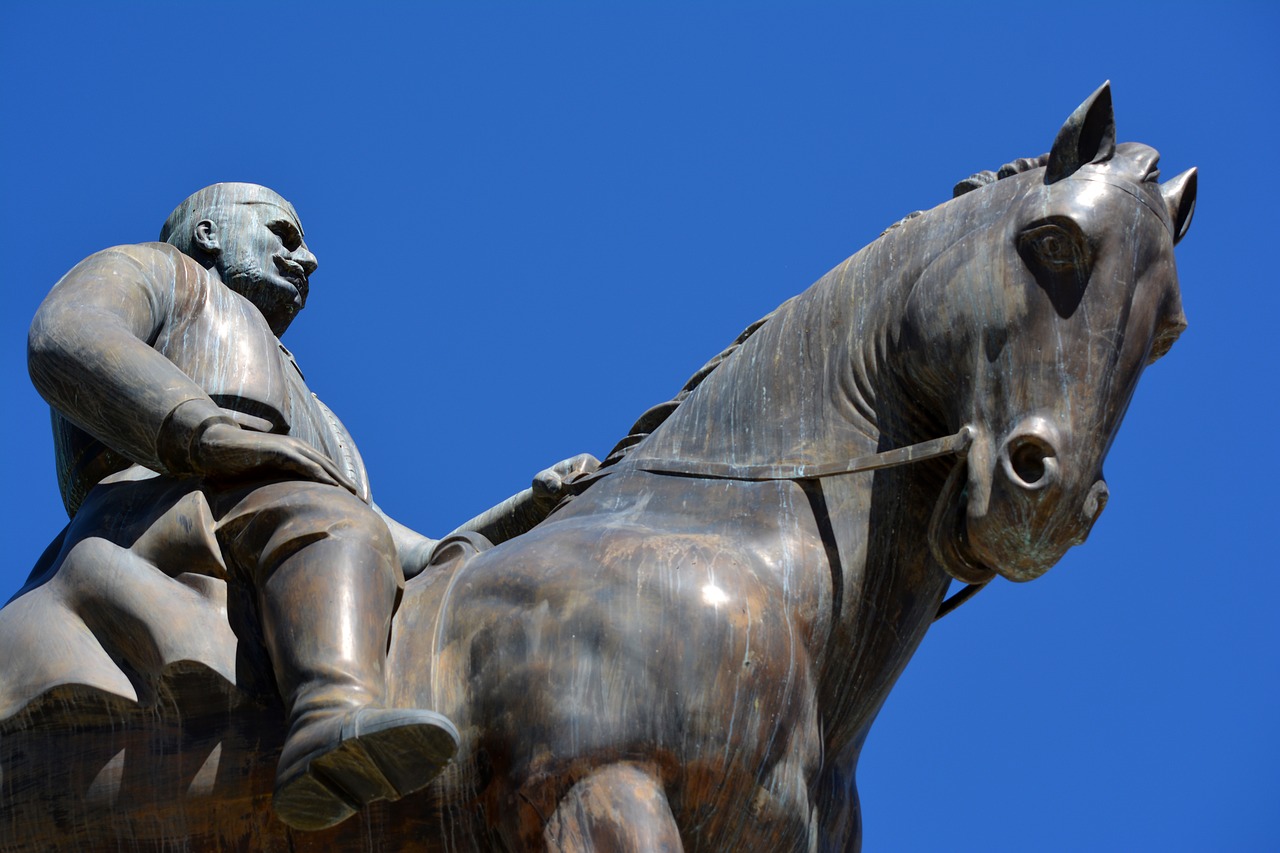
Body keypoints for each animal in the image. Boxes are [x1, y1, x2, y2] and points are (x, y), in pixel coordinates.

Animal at [5, 81, 1192, 850]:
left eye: (1170, 327)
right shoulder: (597, 790)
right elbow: (73, 331)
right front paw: (244, 435)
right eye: (1053, 243)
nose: (1048, 495)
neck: (727, 549)